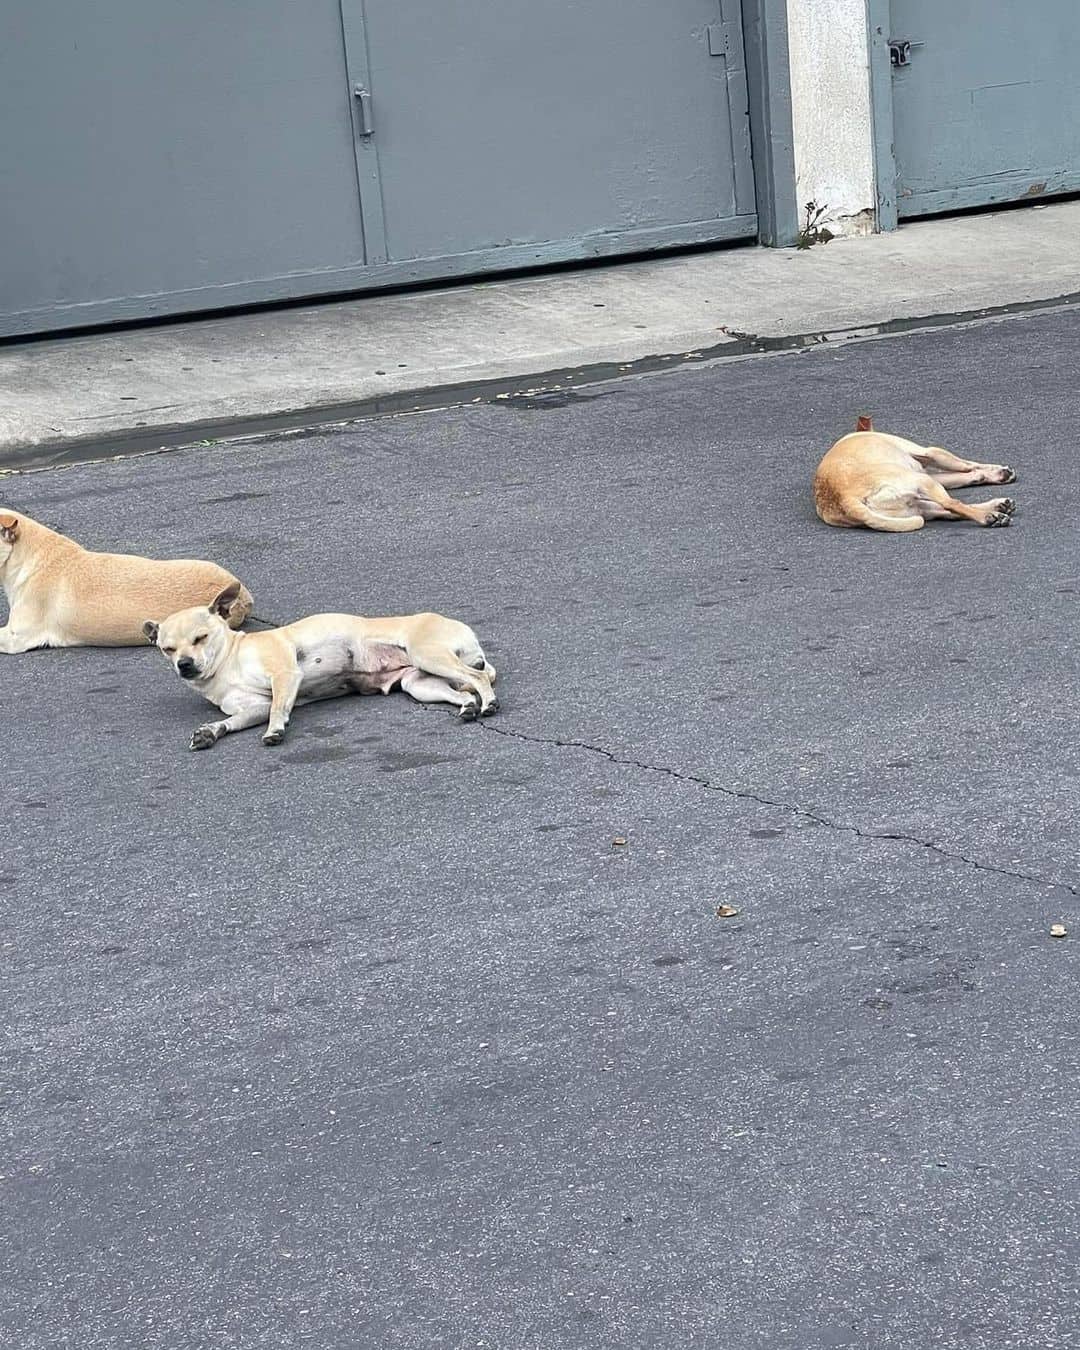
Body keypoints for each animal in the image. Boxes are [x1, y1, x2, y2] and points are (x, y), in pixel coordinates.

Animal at [143, 580, 496, 750]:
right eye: (167, 649)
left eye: (201, 638)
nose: (184, 665)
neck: (228, 663)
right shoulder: (253, 708)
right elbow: (233, 721)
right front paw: (210, 733)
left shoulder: (284, 675)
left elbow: (278, 709)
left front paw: (275, 730)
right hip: (420, 683)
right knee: (464, 693)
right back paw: (469, 708)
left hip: (429, 656)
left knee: (478, 678)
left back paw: (489, 702)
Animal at [815, 415, 1015, 531]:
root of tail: (844, 499)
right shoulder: (931, 453)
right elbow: (968, 465)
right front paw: (999, 472)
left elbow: (966, 475)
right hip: (922, 481)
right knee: (952, 505)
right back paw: (989, 516)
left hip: (917, 504)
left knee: (948, 511)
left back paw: (998, 508)